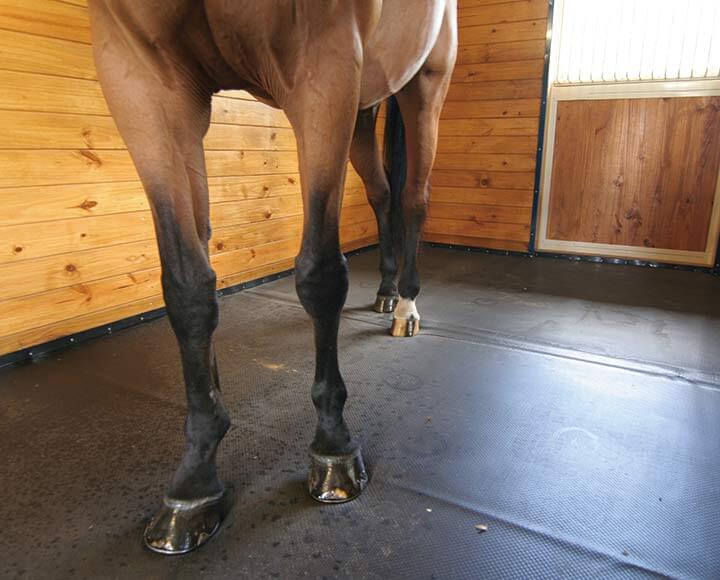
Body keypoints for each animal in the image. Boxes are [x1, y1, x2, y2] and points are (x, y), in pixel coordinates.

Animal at [88, 0, 456, 552]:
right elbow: (188, 286)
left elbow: (320, 276)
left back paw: (408, 307)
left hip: (425, 84)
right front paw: (196, 476)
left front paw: (333, 446)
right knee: (383, 194)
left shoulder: (324, 65)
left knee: (414, 200)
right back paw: (388, 292)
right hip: (364, 111)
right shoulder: (142, 80)